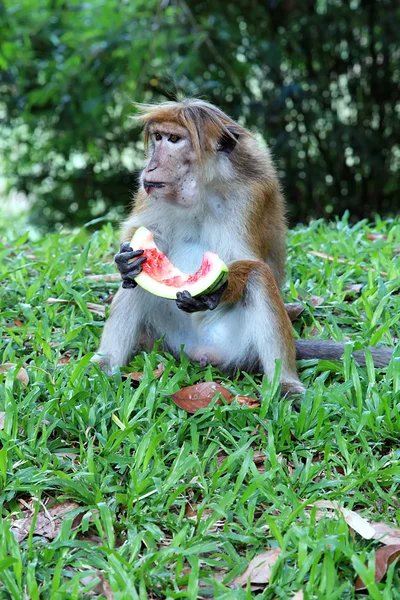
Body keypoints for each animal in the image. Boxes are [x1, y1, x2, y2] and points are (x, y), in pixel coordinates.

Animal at [92, 98, 396, 394]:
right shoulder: (149, 193)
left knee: (259, 277)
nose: (150, 166)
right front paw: (124, 261)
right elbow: (146, 238)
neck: (202, 189)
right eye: (158, 137)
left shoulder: (251, 195)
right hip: (169, 337)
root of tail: (200, 352)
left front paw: (219, 288)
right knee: (134, 285)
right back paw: (104, 365)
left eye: (174, 139)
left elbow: (247, 260)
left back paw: (286, 384)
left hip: (239, 345)